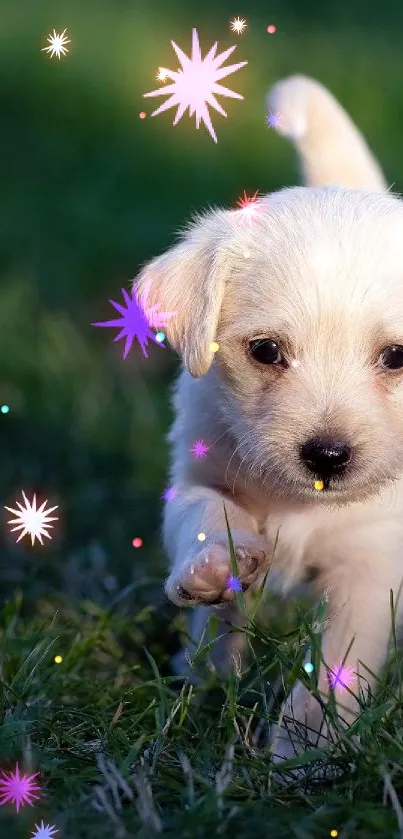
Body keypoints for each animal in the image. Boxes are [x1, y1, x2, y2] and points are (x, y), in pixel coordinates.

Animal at [137, 77, 403, 760]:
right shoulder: (195, 472)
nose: (328, 456)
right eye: (264, 351)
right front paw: (216, 567)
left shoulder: (370, 567)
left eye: (396, 357)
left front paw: (303, 753)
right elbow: (205, 515)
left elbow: (337, 667)